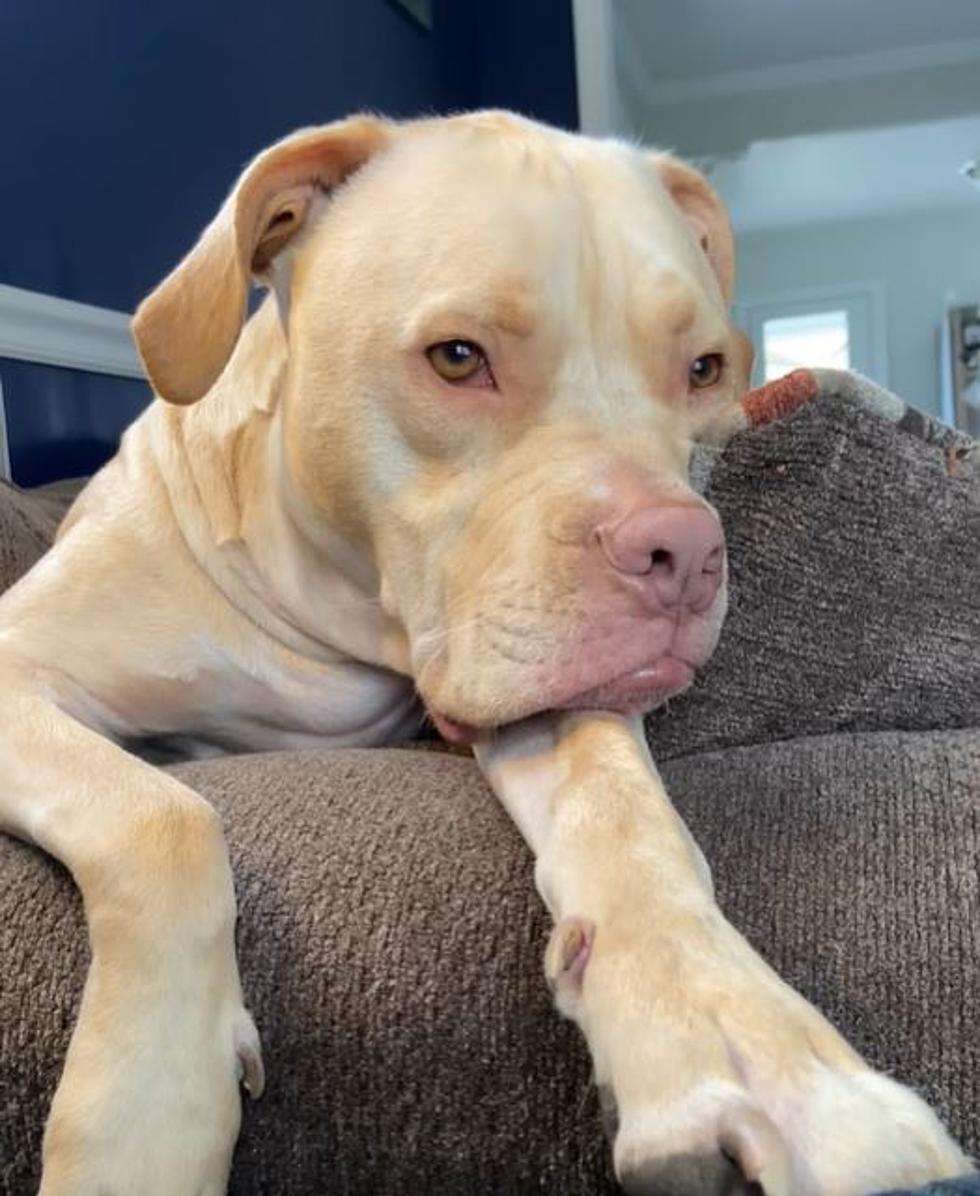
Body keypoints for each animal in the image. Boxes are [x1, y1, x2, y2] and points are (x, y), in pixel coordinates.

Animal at [0, 112, 971, 1196]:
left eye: (704, 370)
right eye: (458, 358)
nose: (687, 553)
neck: (329, 612)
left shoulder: (546, 689)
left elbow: (632, 824)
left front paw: (750, 1046)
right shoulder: (21, 667)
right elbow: (165, 814)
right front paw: (148, 1110)